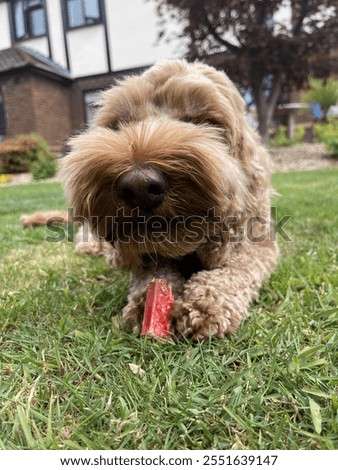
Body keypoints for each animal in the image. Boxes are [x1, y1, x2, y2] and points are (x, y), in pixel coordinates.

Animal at [59, 60, 278, 340]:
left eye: (207, 122)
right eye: (121, 123)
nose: (140, 185)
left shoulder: (258, 244)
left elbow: (239, 266)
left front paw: (206, 303)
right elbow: (153, 272)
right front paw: (147, 301)